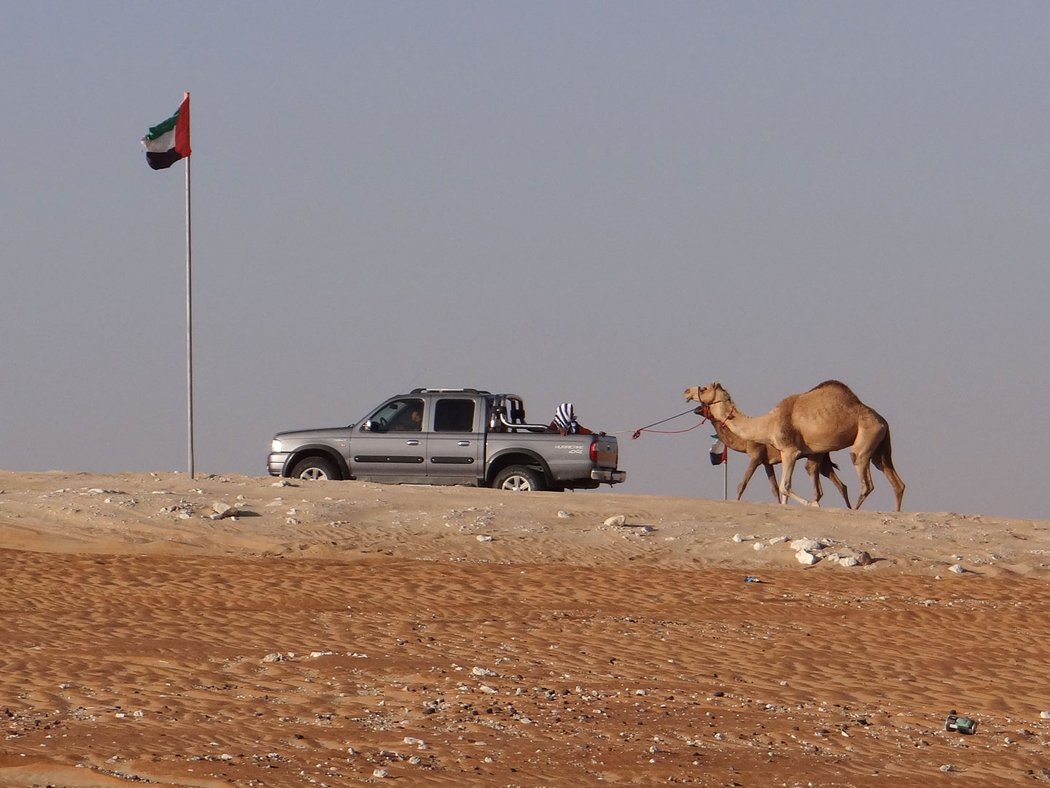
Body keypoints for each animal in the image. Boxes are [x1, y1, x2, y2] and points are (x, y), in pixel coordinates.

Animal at [692, 403, 848, 508]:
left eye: (705, 405)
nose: (695, 409)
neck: (744, 440)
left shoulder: (755, 457)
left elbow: (742, 484)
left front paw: (736, 501)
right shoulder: (767, 462)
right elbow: (774, 489)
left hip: (816, 455)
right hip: (824, 458)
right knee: (841, 484)